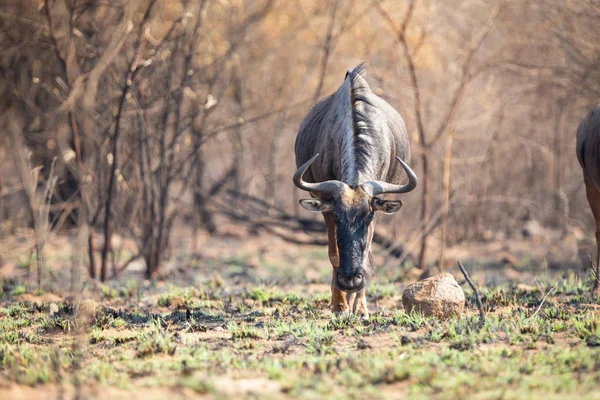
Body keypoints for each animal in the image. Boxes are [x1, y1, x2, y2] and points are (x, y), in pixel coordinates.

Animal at [292, 64, 418, 318]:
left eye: (367, 218)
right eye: (337, 217)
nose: (350, 280)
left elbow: (368, 252)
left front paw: (359, 307)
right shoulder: (325, 207)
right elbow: (333, 254)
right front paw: (339, 305)